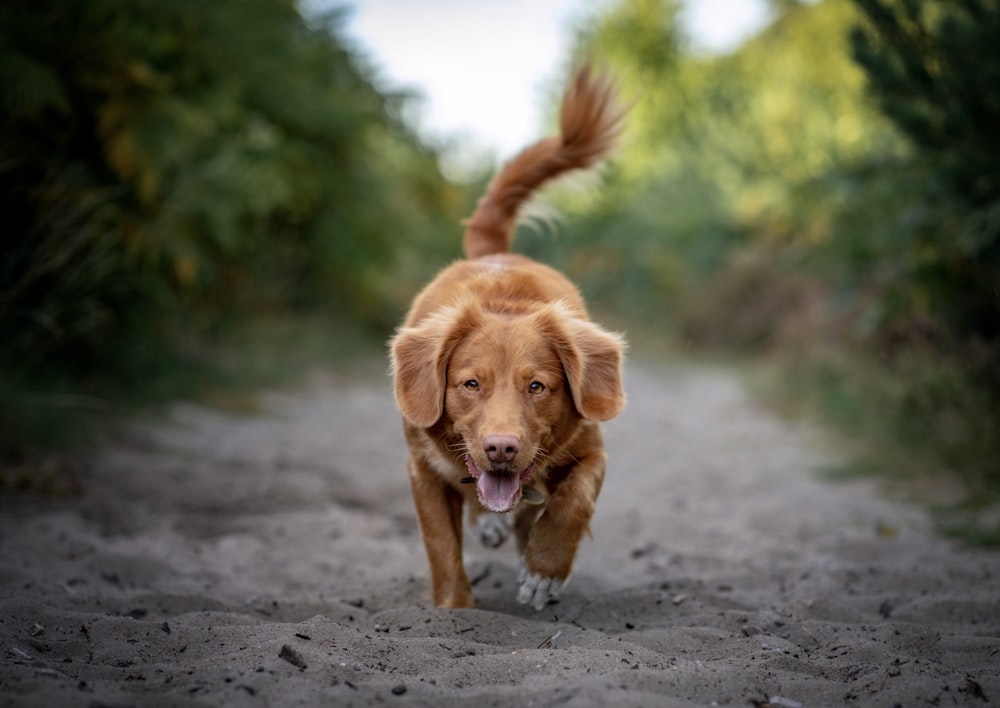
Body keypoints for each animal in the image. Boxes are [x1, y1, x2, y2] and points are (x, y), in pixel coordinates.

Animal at [388, 65, 624, 608]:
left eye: (537, 386)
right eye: (470, 384)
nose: (500, 448)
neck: (503, 300)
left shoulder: (592, 449)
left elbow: (574, 498)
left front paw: (544, 568)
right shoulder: (422, 470)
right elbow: (441, 546)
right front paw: (455, 611)